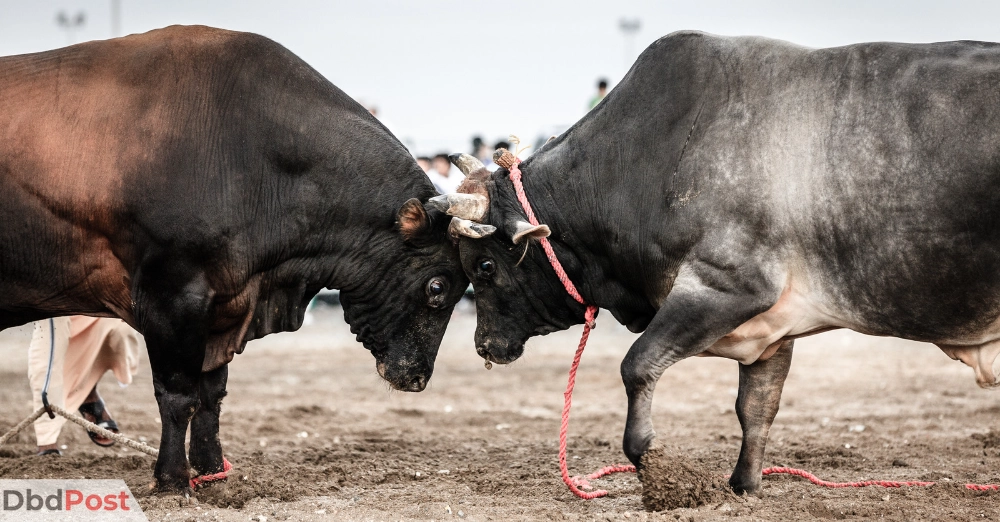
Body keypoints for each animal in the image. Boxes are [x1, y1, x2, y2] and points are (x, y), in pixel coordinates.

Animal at [434, 32, 1000, 492]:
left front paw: (650, 459)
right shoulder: (773, 328)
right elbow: (757, 408)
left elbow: (637, 365)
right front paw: (744, 485)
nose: (485, 345)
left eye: (483, 267)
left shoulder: (726, 287)